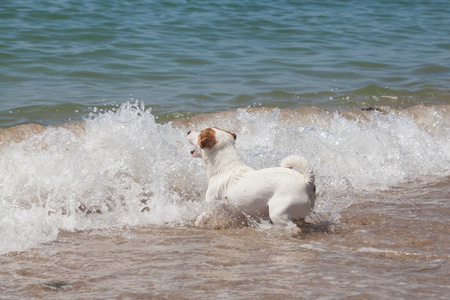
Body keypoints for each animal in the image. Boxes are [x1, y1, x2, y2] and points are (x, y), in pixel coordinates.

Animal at [186, 126, 316, 227]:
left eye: (200, 133)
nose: (188, 131)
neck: (226, 167)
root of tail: (307, 181)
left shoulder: (212, 206)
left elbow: (201, 216)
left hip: (278, 212)